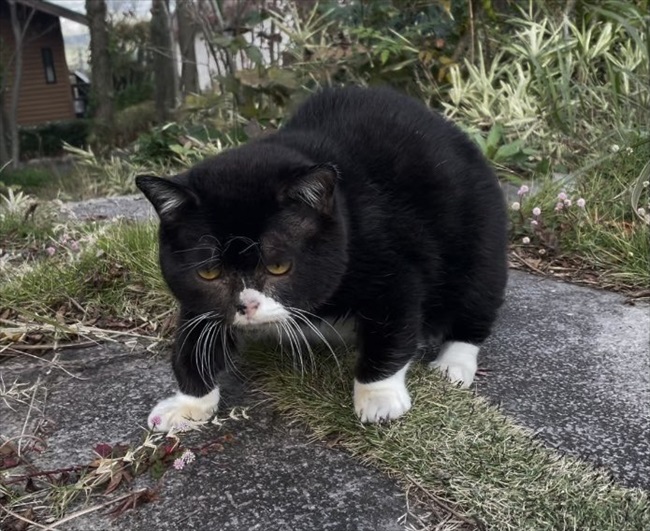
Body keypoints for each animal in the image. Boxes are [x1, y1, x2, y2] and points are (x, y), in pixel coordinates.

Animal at [137, 85, 506, 430]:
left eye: (279, 266)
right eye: (210, 273)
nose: (246, 305)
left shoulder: (392, 259)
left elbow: (392, 327)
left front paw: (379, 396)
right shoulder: (199, 299)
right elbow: (193, 339)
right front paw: (187, 404)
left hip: (482, 236)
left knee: (477, 300)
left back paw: (453, 362)